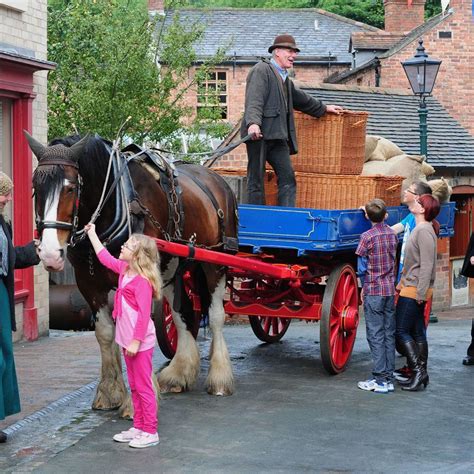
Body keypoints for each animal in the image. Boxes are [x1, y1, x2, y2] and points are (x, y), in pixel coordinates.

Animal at [26, 132, 237, 414]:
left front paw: (138, 402)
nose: (49, 253)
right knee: (181, 315)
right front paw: (110, 392)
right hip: (175, 268)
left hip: (215, 262)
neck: (119, 202)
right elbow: (106, 333)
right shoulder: (89, 283)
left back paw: (220, 377)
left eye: (70, 188)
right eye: (36, 187)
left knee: (215, 316)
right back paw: (179, 373)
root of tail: (217, 180)